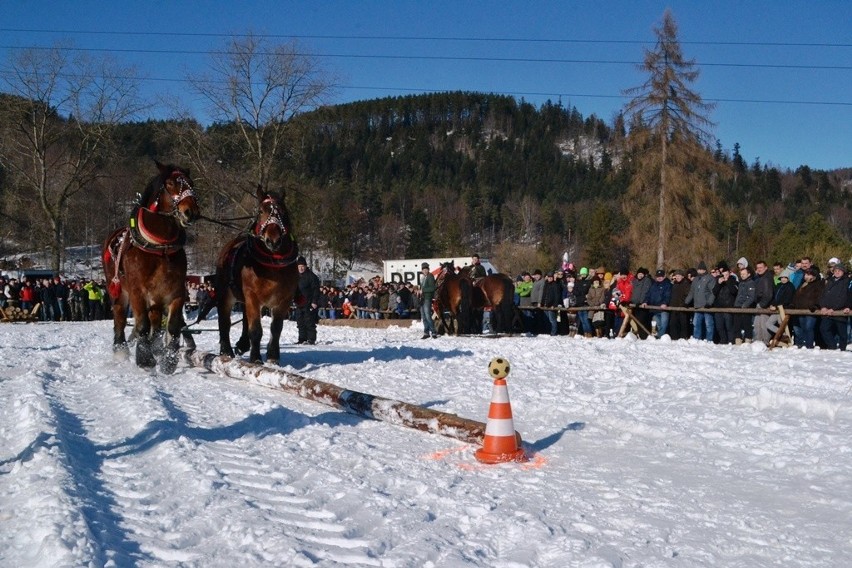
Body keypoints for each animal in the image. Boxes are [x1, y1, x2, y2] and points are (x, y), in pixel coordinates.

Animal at [102, 161, 201, 372]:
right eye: (170, 183)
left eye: (191, 183)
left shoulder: (176, 293)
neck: (159, 248)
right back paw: (121, 350)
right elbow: (142, 325)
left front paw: (168, 360)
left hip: (156, 298)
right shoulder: (137, 292)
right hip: (119, 289)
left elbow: (172, 326)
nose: (191, 211)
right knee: (120, 317)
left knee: (155, 322)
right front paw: (145, 359)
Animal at [207, 186, 298, 364]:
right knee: (224, 320)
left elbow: (276, 328)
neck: (273, 263)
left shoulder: (284, 300)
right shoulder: (253, 297)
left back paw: (243, 344)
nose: (273, 240)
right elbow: (255, 329)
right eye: (261, 211)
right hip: (226, 294)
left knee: (244, 318)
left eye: (283, 212)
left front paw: (273, 356)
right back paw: (226, 350)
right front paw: (255, 358)